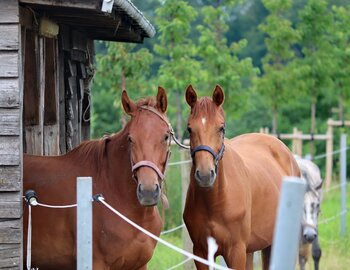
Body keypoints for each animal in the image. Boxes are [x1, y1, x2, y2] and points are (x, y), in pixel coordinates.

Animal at [182, 85, 300, 270]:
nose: (205, 175)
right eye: (189, 129)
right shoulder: (201, 252)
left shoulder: (236, 252)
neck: (216, 202)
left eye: (221, 128)